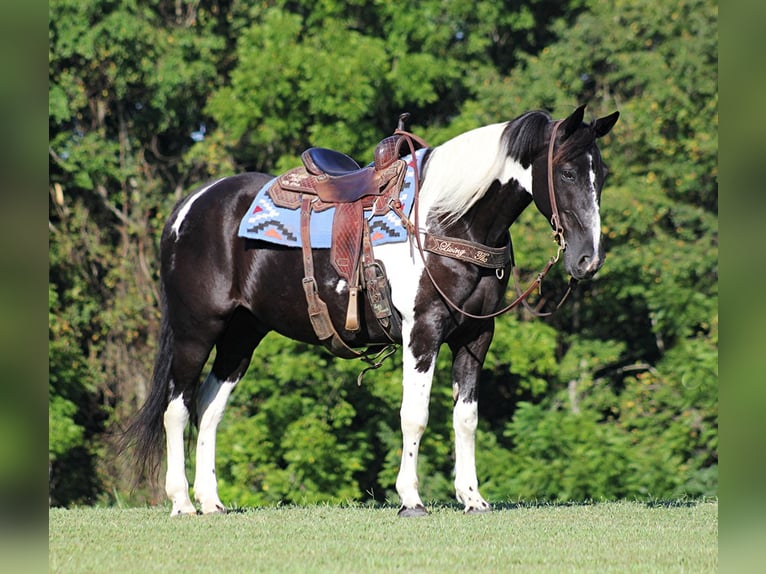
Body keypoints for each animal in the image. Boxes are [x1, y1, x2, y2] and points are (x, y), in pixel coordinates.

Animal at [126, 103, 616, 516]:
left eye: (603, 175)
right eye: (567, 173)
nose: (588, 261)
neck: (448, 220)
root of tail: (190, 206)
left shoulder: (476, 336)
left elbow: (466, 418)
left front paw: (472, 498)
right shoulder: (423, 331)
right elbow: (415, 417)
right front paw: (411, 499)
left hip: (242, 336)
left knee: (209, 409)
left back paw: (210, 501)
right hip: (196, 331)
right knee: (177, 409)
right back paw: (181, 502)